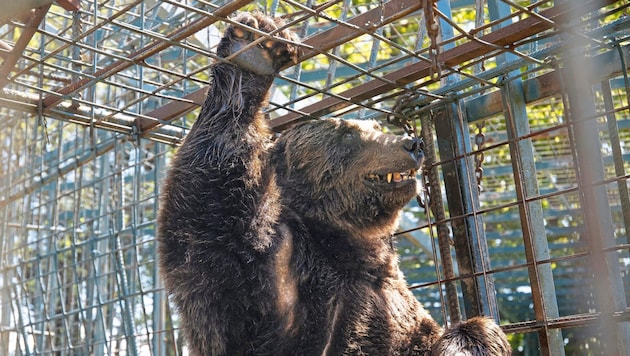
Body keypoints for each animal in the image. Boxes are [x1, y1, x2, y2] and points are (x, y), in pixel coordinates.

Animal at [159, 11, 512, 356]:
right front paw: (253, 49)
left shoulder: (396, 298)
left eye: (376, 127)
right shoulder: (263, 274)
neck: (346, 246)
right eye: (349, 135)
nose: (413, 144)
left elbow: (456, 331)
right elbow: (207, 205)